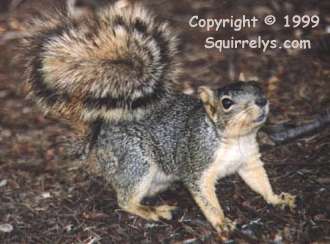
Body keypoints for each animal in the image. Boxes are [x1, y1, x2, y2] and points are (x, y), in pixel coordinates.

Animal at [21, 0, 296, 235]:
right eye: (226, 103)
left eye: (258, 87)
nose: (262, 101)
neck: (234, 139)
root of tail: (96, 141)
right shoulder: (197, 163)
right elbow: (205, 198)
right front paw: (221, 222)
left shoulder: (249, 161)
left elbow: (260, 182)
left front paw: (277, 198)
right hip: (135, 160)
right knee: (125, 199)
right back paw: (152, 211)